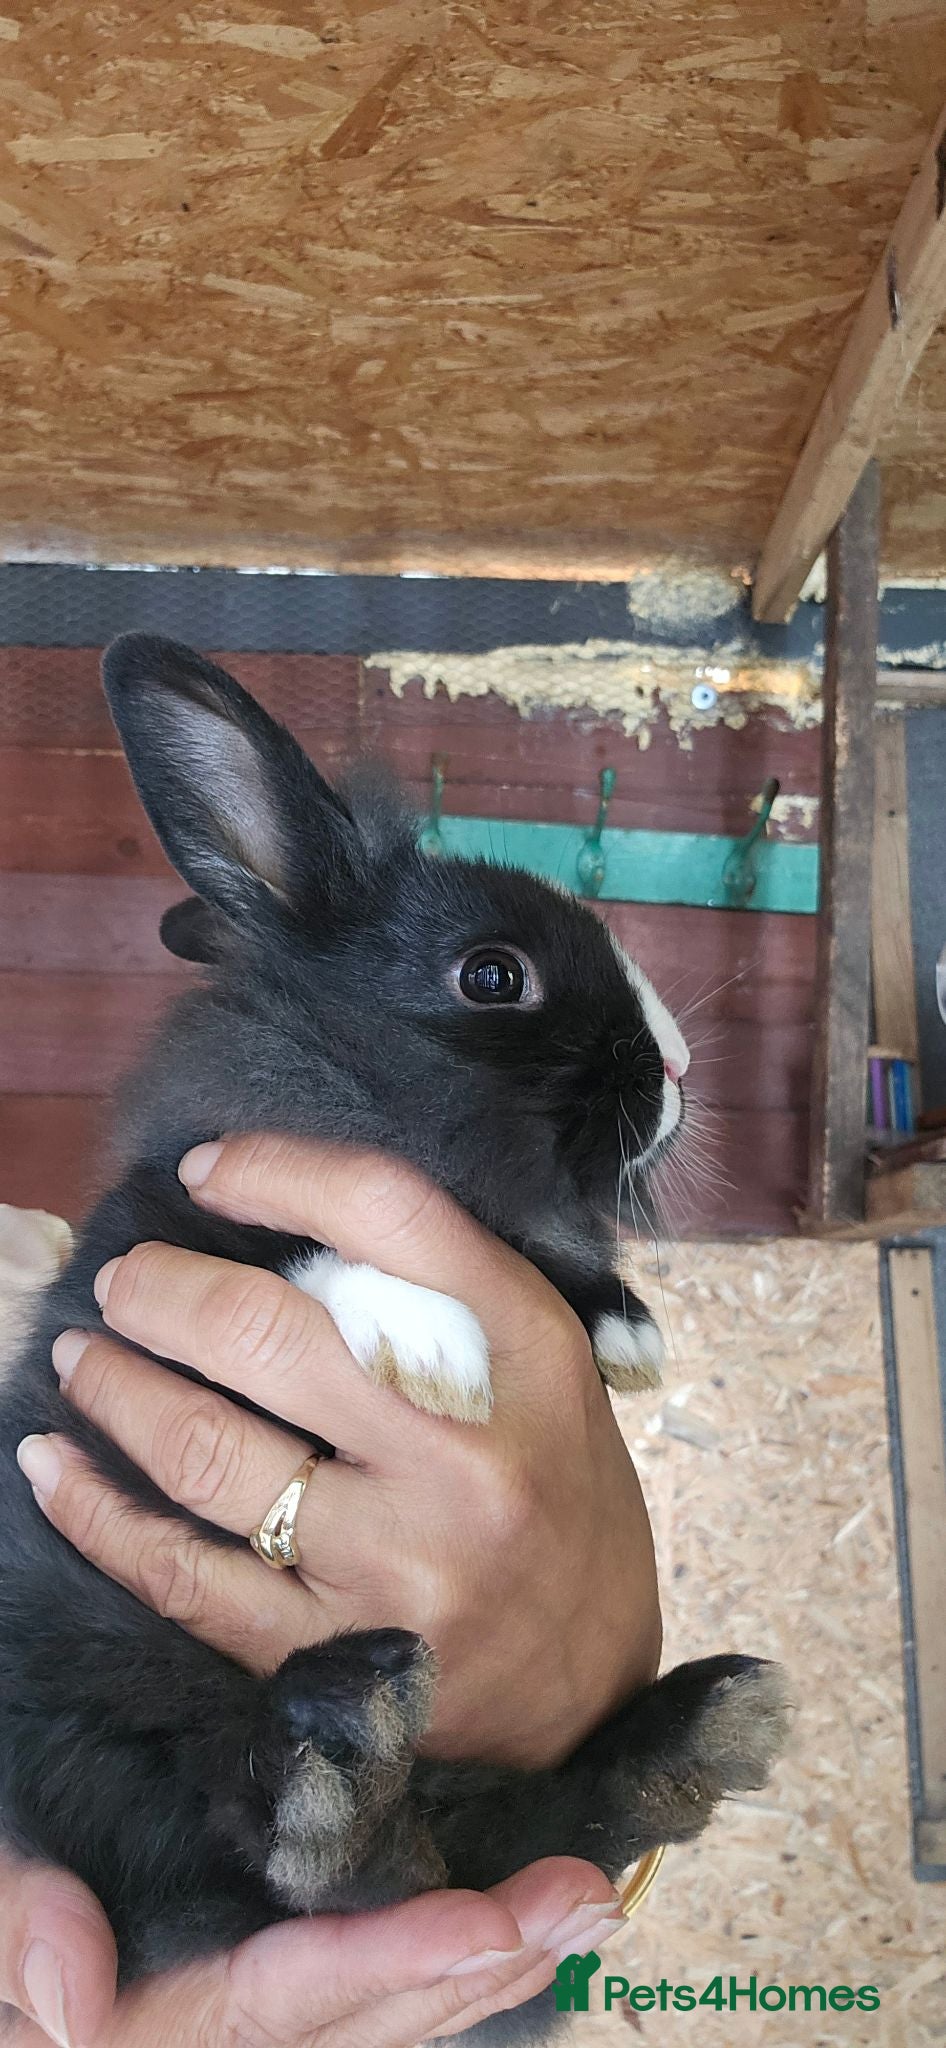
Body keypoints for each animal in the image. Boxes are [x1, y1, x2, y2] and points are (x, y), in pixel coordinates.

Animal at [0, 636, 789, 2044]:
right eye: (492, 974)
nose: (683, 1067)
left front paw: (622, 1331)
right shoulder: (144, 1265)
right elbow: (297, 1253)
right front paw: (436, 1346)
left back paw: (687, 1735)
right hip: (111, 1744)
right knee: (312, 1868)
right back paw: (338, 1761)